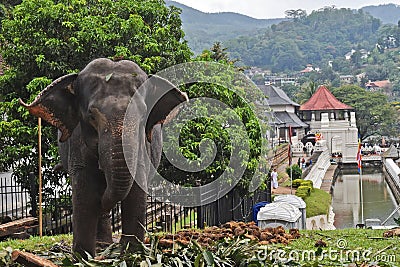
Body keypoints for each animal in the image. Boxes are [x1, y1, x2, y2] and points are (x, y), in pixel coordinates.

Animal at [18, 58, 188, 258]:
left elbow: (136, 188)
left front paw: (132, 254)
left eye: (142, 116)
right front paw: (82, 257)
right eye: (91, 115)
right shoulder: (77, 141)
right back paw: (101, 244)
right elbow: (85, 191)